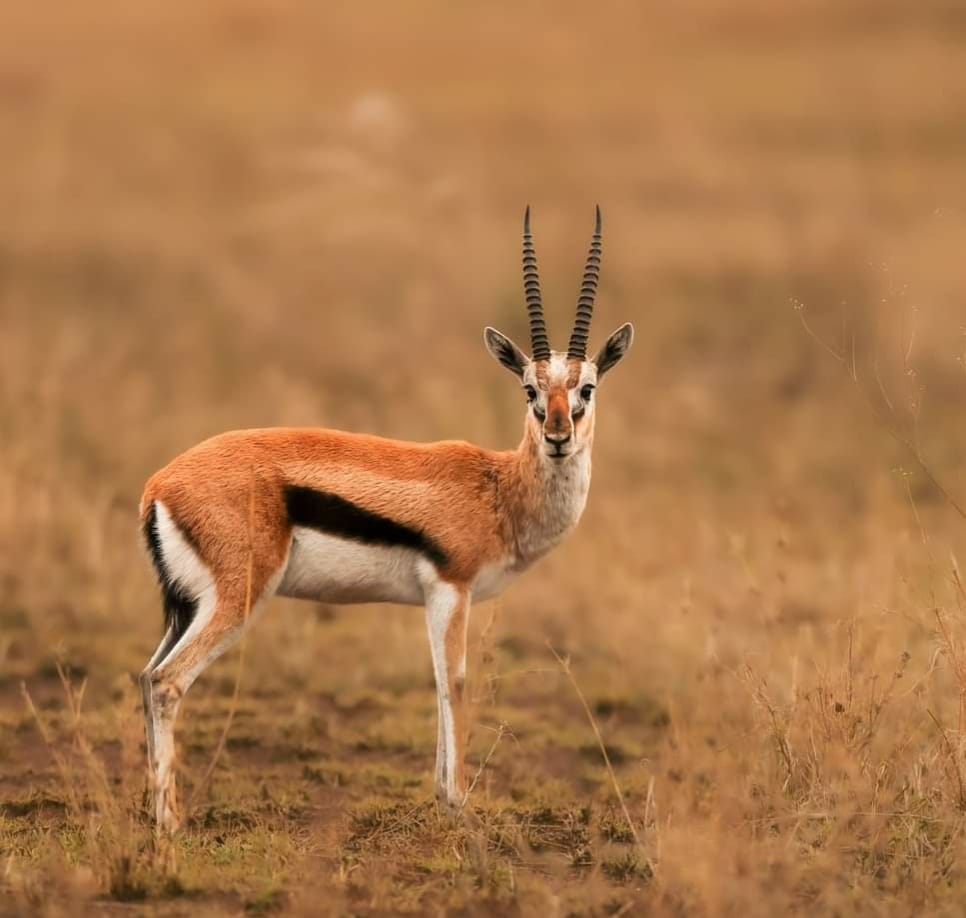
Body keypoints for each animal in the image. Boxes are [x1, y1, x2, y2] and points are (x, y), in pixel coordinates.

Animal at [139, 207, 633, 833]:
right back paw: (170, 826)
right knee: (166, 682)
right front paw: (458, 806)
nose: (558, 436)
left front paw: (444, 798)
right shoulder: (451, 588)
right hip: (235, 598)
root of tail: (159, 485)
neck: (499, 487)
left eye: (586, 387)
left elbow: (441, 682)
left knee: (145, 676)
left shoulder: (437, 599)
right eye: (530, 390)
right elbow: (455, 684)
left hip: (186, 607)